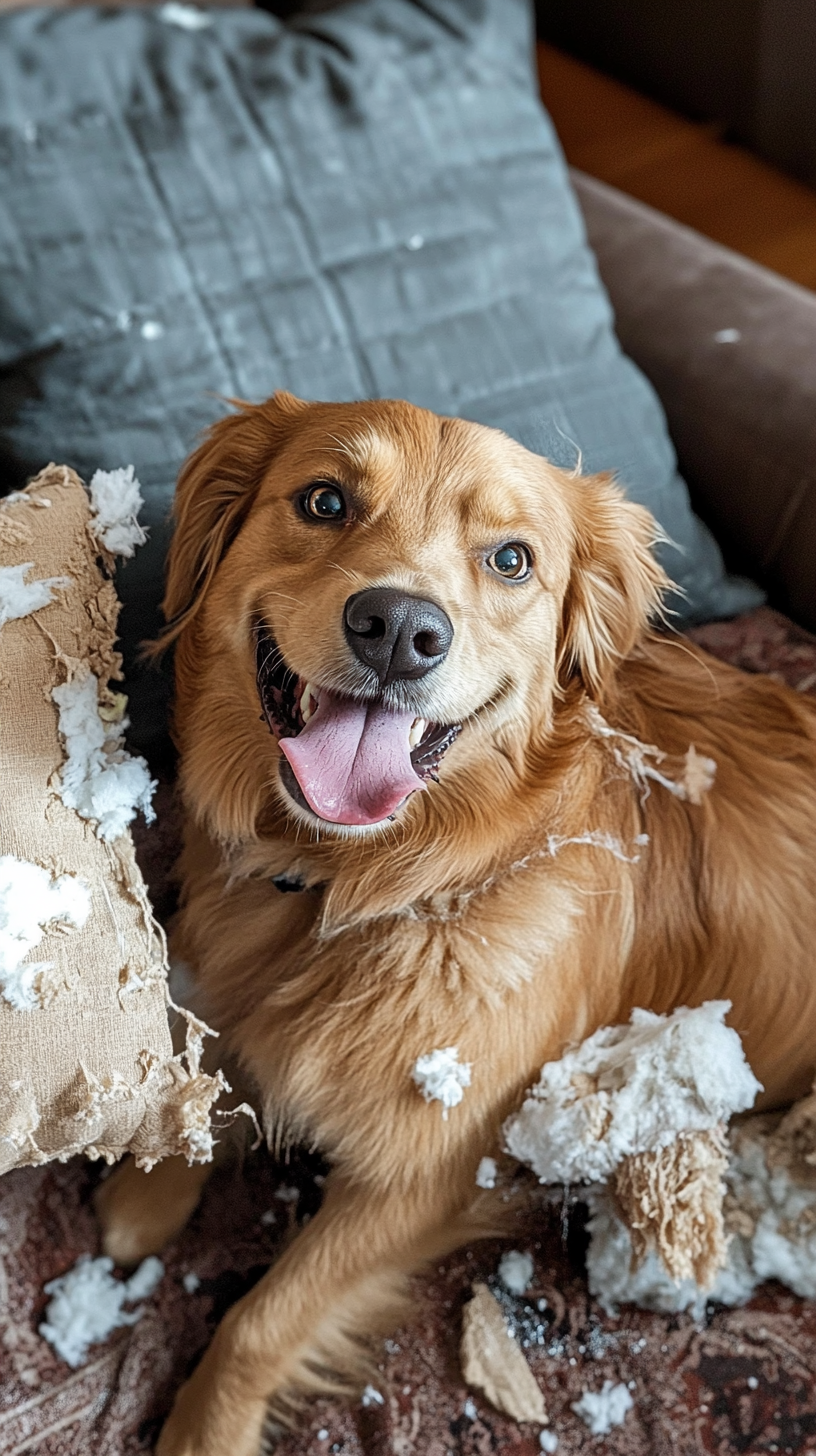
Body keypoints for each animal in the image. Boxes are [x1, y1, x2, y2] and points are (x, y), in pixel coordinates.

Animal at [99, 396, 816, 1456]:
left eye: (511, 559)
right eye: (324, 500)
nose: (399, 628)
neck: (355, 889)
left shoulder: (430, 1172)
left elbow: (262, 1320)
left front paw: (203, 1432)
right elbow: (218, 1060)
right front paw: (145, 1197)